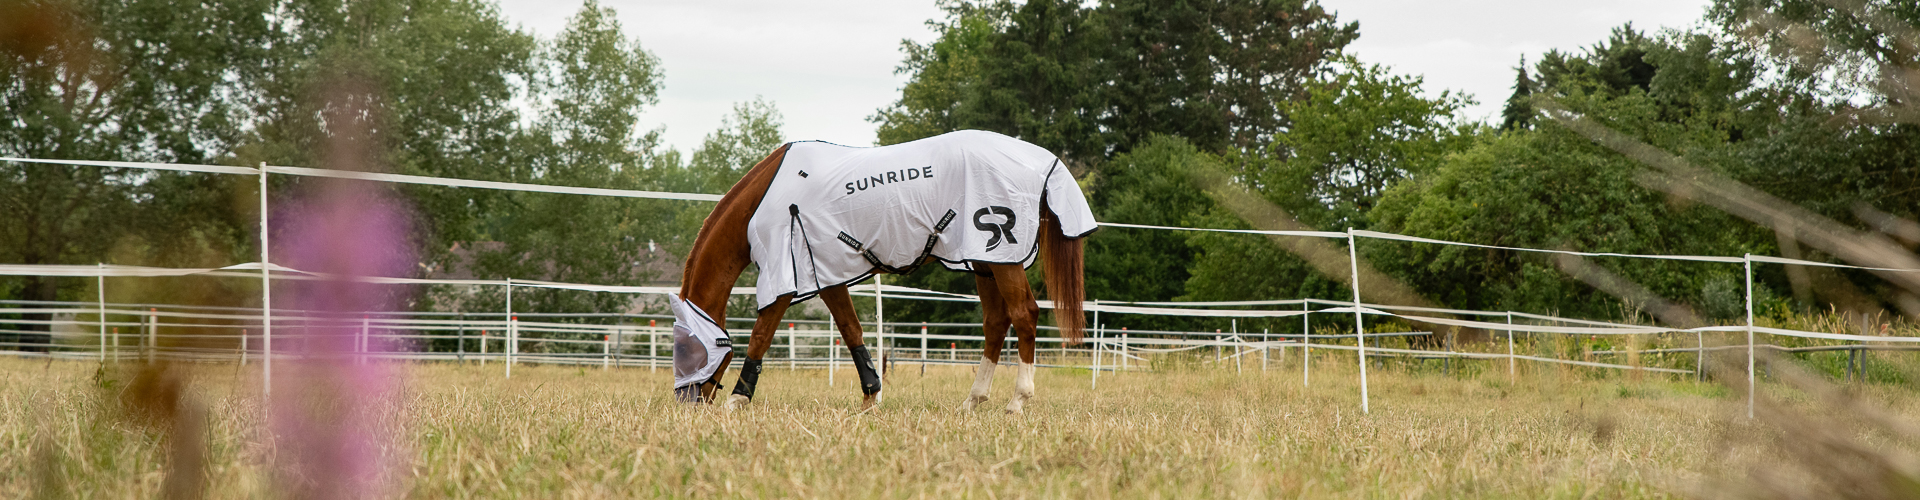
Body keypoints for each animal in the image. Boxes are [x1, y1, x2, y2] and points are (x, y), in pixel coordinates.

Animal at [675, 129, 1098, 413]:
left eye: (686, 348)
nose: (684, 402)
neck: (767, 198)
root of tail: (1042, 160)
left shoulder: (784, 275)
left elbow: (761, 335)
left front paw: (737, 399)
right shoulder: (827, 275)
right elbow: (852, 331)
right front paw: (871, 396)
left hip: (1002, 259)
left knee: (1024, 314)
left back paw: (1017, 402)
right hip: (983, 262)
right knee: (996, 321)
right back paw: (972, 401)